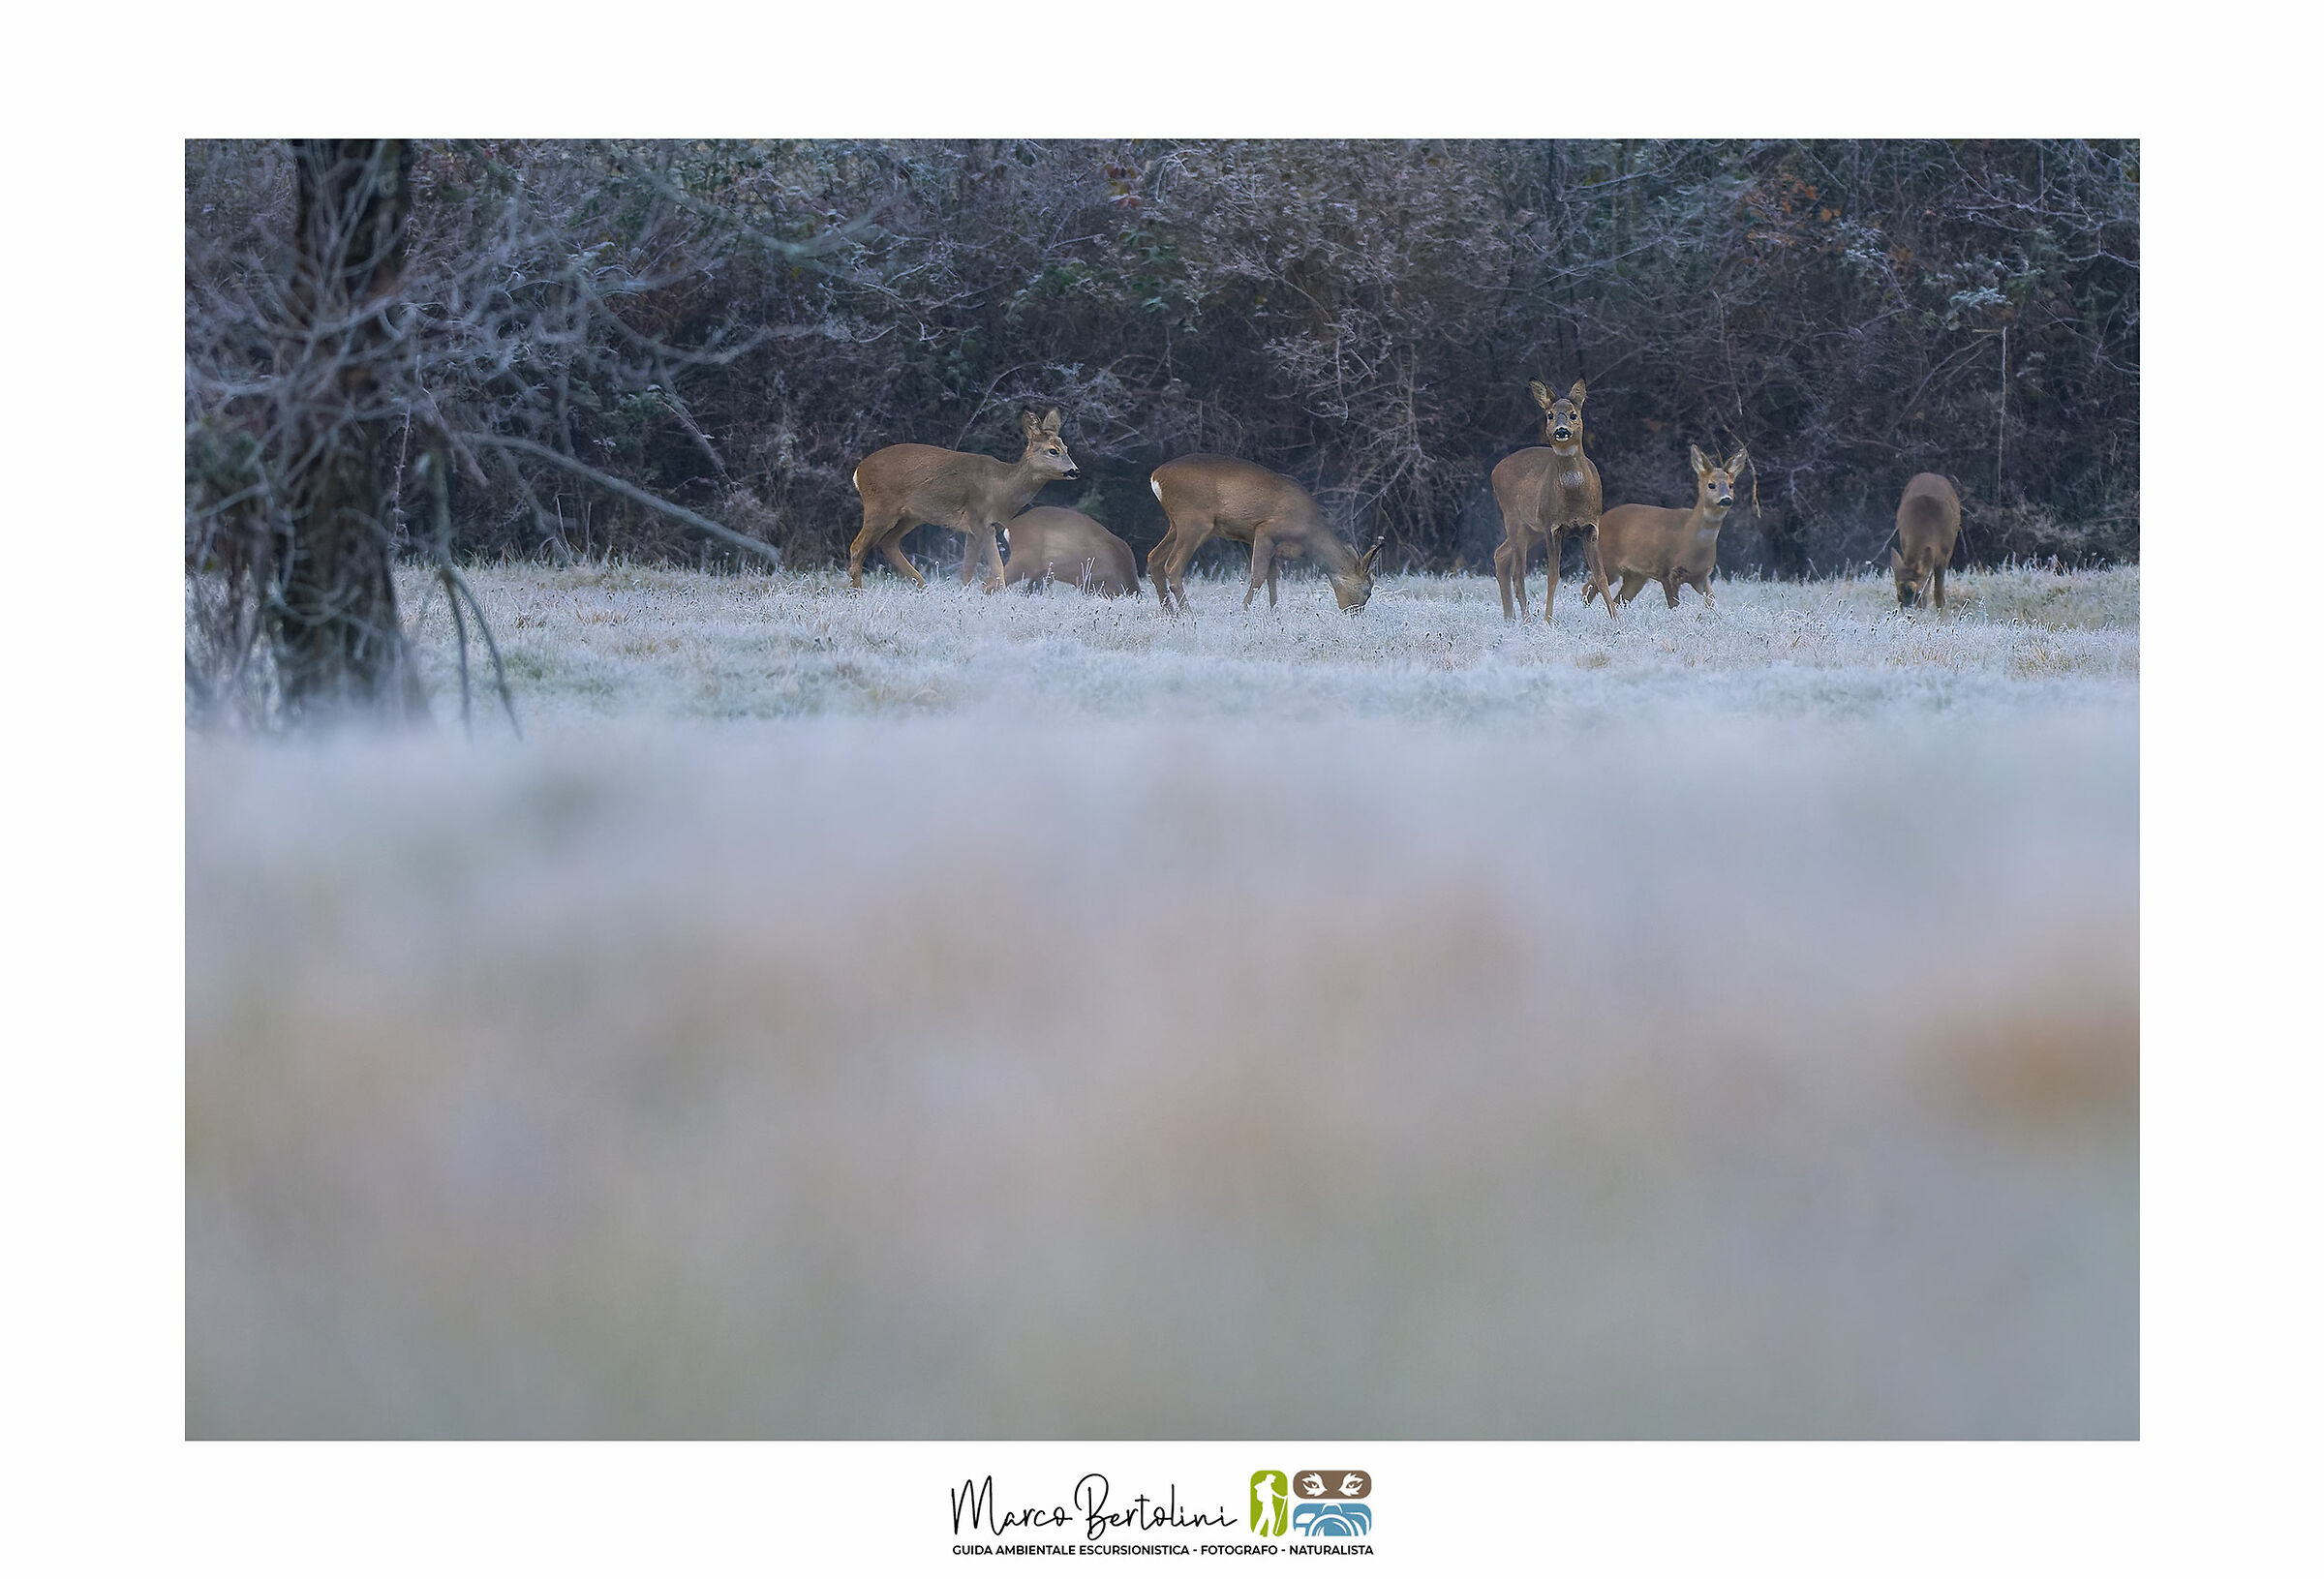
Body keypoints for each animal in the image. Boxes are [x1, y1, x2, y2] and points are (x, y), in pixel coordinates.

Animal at [847, 408, 1077, 592]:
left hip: (911, 516)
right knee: (857, 547)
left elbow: (968, 569)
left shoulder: (979, 528)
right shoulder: (980, 521)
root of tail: (858, 471)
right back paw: (857, 594)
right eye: (1053, 450)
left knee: (888, 543)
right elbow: (997, 568)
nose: (1075, 470)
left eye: (1066, 448)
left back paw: (923, 588)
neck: (1002, 488)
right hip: (880, 507)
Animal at [1146, 454, 1377, 614]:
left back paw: (1171, 614)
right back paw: (1188, 614)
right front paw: (1243, 611)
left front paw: (1274, 612)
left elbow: (1272, 577)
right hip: (1194, 520)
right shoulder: (1265, 529)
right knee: (1172, 566)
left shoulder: (1268, 543)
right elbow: (1258, 576)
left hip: (1176, 524)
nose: (1354, 613)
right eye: (1368, 591)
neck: (1309, 535)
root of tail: (1156, 476)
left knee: (1153, 558)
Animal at [1491, 379, 1616, 623]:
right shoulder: (1552, 527)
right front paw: (1548, 620)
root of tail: (1495, 470)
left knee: (1500, 555)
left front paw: (1618, 619)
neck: (1574, 497)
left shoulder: (1591, 527)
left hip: (1531, 530)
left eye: (1573, 414)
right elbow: (1553, 575)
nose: (1561, 431)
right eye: (1550, 415)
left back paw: (1510, 617)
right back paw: (1526, 620)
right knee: (1518, 574)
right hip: (1514, 519)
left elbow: (1600, 576)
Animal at [1596, 444, 1749, 610]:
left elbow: (1712, 602)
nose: (1726, 499)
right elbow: (1674, 606)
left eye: (1731, 485)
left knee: (1618, 600)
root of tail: (1601, 519)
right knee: (1591, 589)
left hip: (1635, 576)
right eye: (1711, 485)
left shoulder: (1701, 576)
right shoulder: (1666, 571)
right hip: (1608, 561)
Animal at [1892, 472, 1962, 611]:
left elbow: (1938, 593)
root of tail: (1932, 474)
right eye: (1899, 594)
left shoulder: (1944, 558)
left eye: (1916, 593)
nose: (1907, 611)